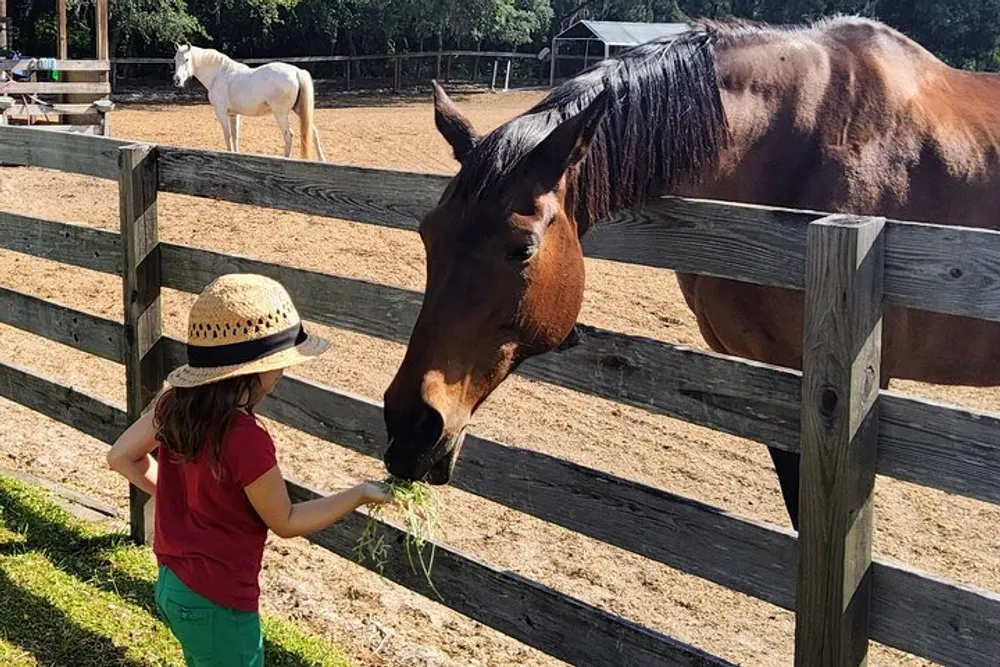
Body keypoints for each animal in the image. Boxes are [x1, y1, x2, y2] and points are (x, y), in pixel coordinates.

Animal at [172, 44, 326, 162]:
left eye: (187, 59)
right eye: (175, 59)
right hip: (300, 111)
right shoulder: (233, 115)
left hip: (280, 114)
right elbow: (235, 136)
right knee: (313, 132)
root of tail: (296, 72)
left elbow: (227, 136)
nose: (177, 80)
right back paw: (322, 160)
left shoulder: (221, 113)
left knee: (288, 135)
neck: (219, 74)